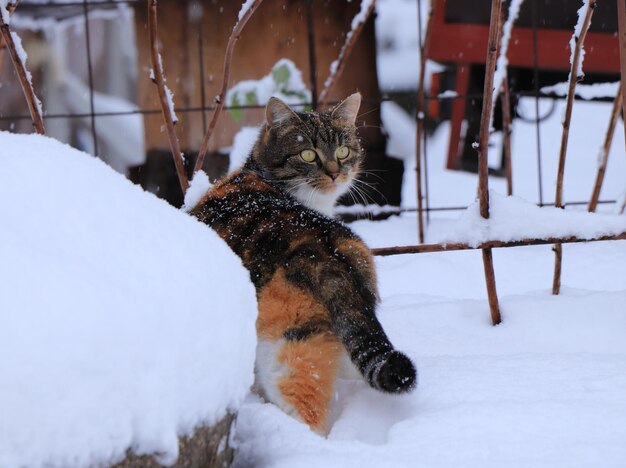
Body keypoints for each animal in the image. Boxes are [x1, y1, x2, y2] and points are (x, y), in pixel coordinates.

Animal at [190, 92, 414, 436]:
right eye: (307, 154)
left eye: (343, 150)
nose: (335, 172)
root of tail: (324, 242)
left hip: (287, 339)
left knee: (302, 403)